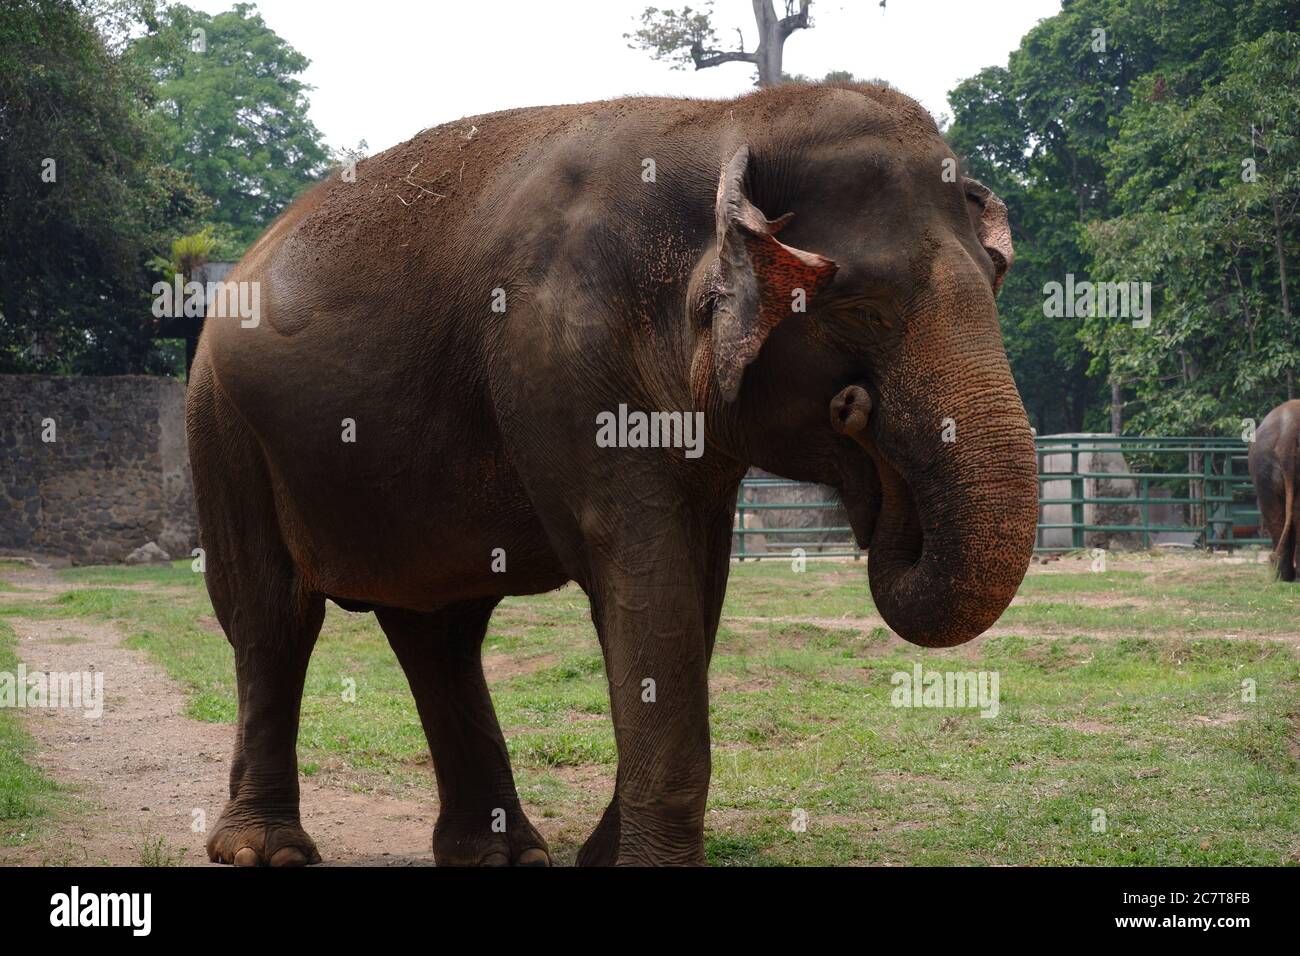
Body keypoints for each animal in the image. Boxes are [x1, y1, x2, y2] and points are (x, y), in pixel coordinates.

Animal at [185, 82, 1034, 868]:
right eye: (863, 312)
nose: (855, 412)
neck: (728, 120)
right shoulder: (557, 357)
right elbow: (643, 569)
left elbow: (694, 584)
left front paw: (606, 858)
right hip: (222, 431)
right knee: (272, 618)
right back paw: (264, 850)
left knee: (439, 630)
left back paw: (500, 854)